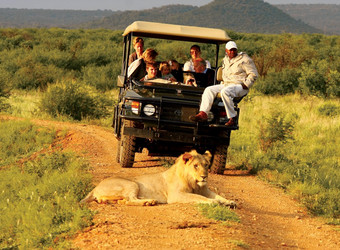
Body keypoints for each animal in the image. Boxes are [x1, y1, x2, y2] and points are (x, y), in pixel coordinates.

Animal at [81, 149, 236, 208]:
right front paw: (214, 202)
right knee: (131, 199)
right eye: (196, 166)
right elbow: (199, 198)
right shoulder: (176, 195)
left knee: (124, 201)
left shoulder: (205, 190)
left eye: (206, 165)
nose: (205, 176)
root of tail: (95, 187)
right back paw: (149, 202)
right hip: (132, 184)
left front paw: (229, 202)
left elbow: (218, 196)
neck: (195, 183)